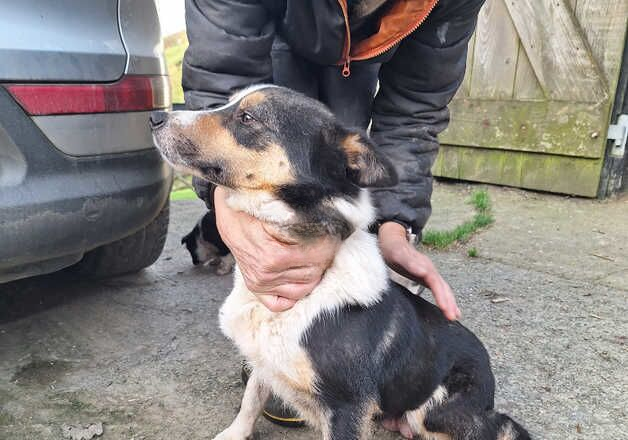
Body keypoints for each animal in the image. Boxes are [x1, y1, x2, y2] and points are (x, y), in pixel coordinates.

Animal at [151, 86, 528, 440]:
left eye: (247, 118)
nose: (155, 117)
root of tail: (489, 386)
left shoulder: (348, 405)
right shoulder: (263, 361)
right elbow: (251, 398)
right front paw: (235, 433)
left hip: (435, 410)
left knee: (501, 426)